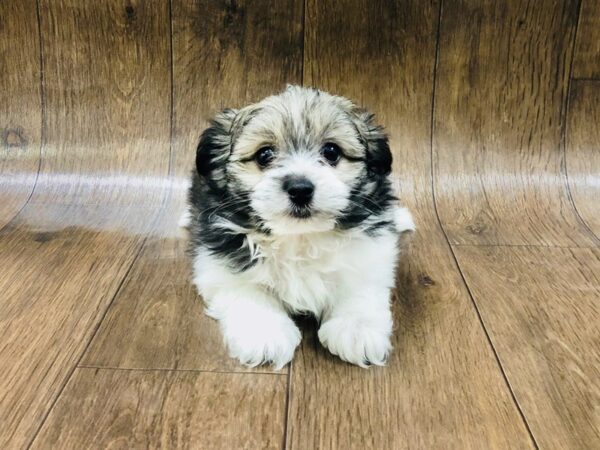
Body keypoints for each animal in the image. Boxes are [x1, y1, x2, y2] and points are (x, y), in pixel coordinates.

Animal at [185, 85, 414, 370]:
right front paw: (265, 333)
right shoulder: (219, 263)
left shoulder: (371, 251)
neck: (301, 236)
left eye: (331, 152)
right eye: (264, 155)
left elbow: (360, 282)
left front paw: (356, 329)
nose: (300, 189)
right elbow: (246, 290)